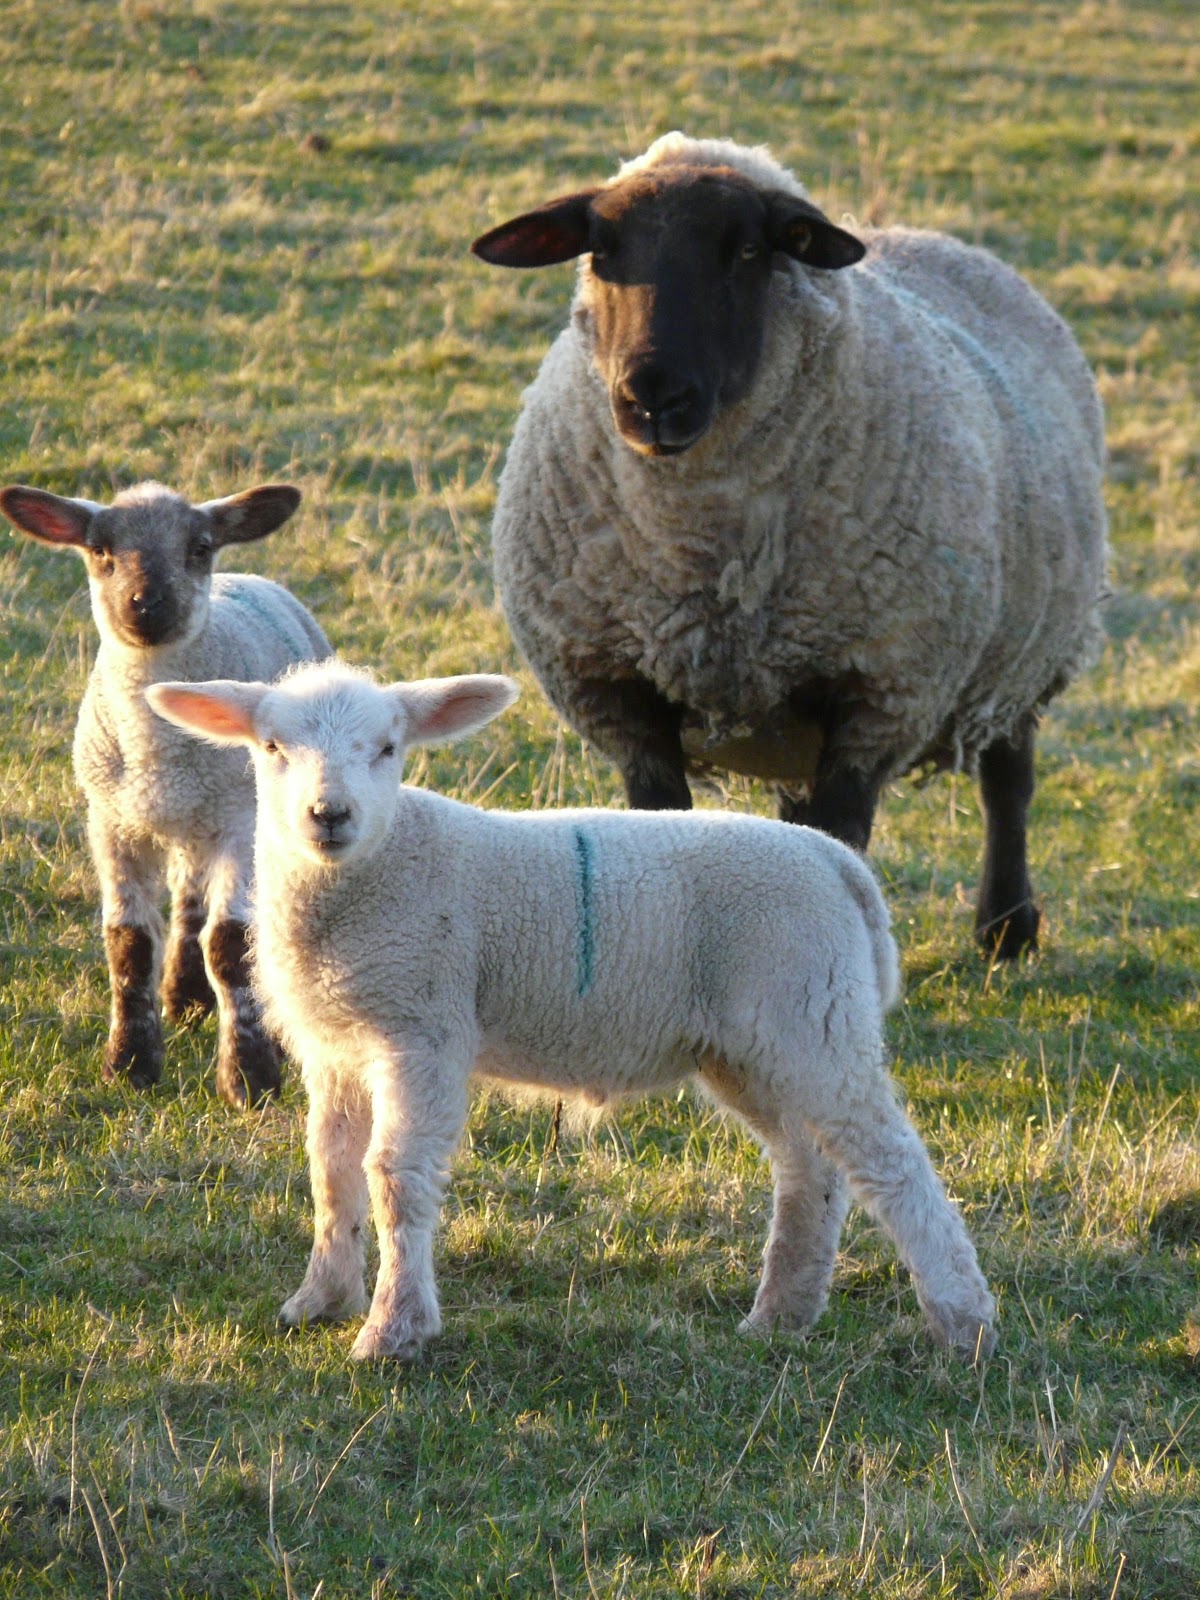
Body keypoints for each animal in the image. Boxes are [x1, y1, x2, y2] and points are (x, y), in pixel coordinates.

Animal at [0, 479, 330, 1107]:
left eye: (199, 547)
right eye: (99, 549)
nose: (146, 605)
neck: (158, 751)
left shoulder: (237, 819)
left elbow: (231, 943)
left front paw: (249, 1077)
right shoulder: (111, 822)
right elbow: (128, 942)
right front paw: (129, 1064)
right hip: (183, 820)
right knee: (188, 895)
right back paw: (186, 998)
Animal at [148, 659, 997, 1362]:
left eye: (388, 747)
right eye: (271, 747)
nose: (330, 815)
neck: (377, 872)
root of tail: (836, 861)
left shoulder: (424, 1026)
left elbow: (395, 1175)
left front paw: (393, 1330)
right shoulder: (339, 1044)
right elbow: (331, 1171)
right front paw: (320, 1299)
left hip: (814, 1016)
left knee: (893, 1163)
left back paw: (964, 1322)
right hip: (753, 1043)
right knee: (809, 1168)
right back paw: (780, 1316)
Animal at [471, 132, 1109, 958]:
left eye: (747, 249)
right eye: (601, 249)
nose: (652, 395)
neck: (702, 549)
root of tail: (939, 239)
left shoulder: (880, 692)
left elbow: (848, 831)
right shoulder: (616, 690)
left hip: (1022, 659)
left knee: (1009, 782)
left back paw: (1006, 928)